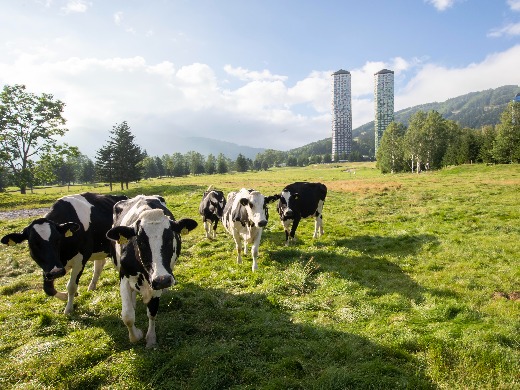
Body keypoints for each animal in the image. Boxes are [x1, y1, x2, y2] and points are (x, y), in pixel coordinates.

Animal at [105, 195, 197, 348]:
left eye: (170, 238)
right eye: (140, 241)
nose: (164, 280)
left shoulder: (156, 282)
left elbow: (152, 311)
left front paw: (151, 338)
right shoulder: (124, 278)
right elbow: (127, 315)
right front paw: (135, 336)